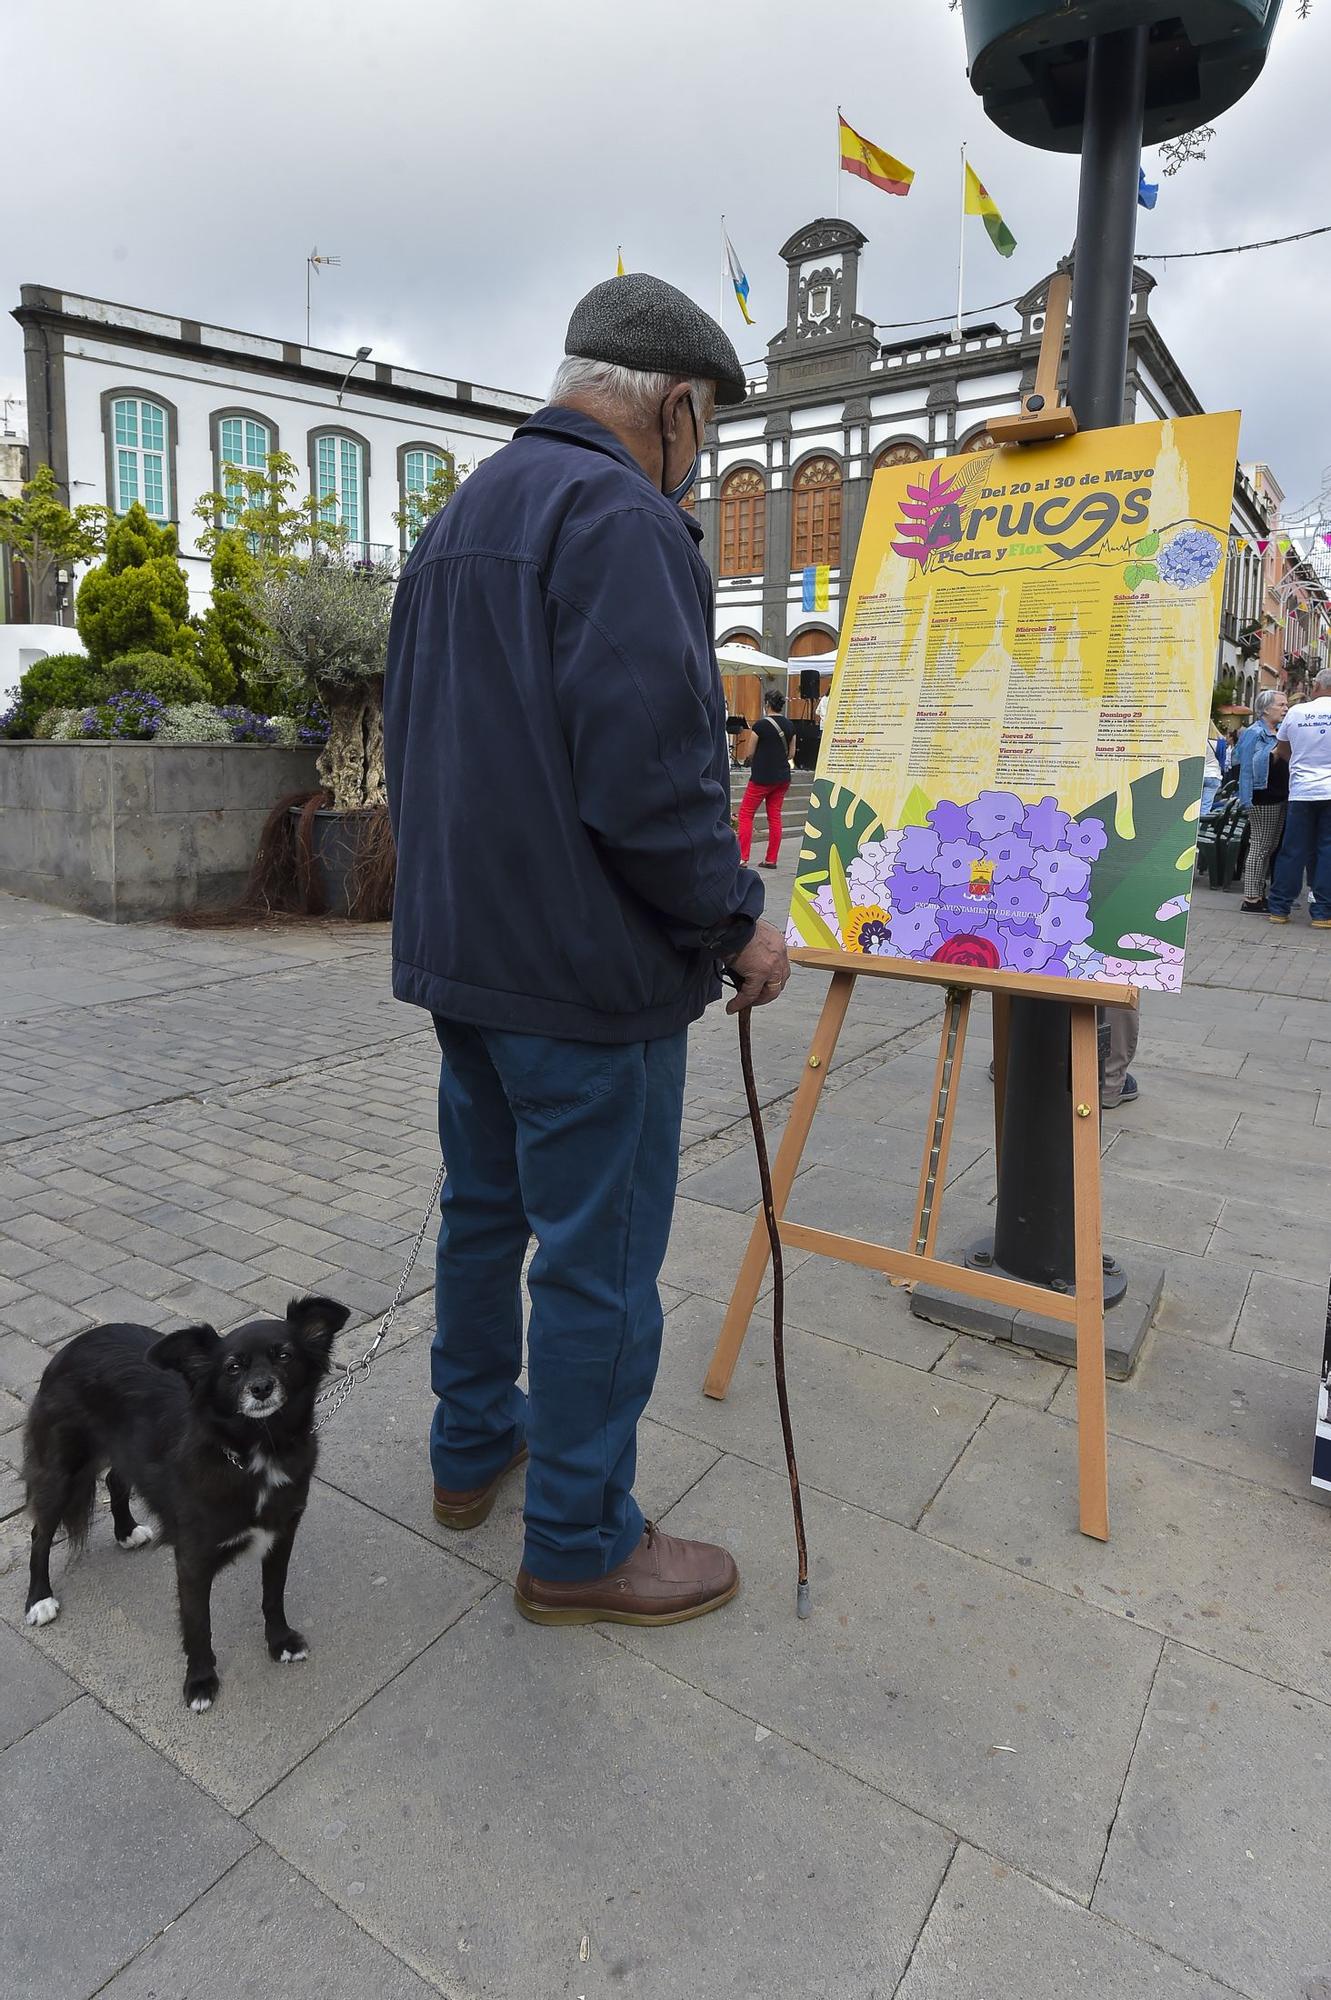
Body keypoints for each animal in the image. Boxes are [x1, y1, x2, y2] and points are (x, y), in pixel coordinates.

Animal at [22, 1304, 347, 1712]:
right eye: (232, 1367)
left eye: (284, 1356)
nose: (261, 1388)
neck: (255, 1454)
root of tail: (72, 1347)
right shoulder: (193, 1560)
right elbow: (198, 1625)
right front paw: (201, 1682)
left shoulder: (281, 1534)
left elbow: (273, 1595)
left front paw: (280, 1643)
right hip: (60, 1473)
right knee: (40, 1532)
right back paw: (39, 1599)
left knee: (115, 1481)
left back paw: (126, 1531)